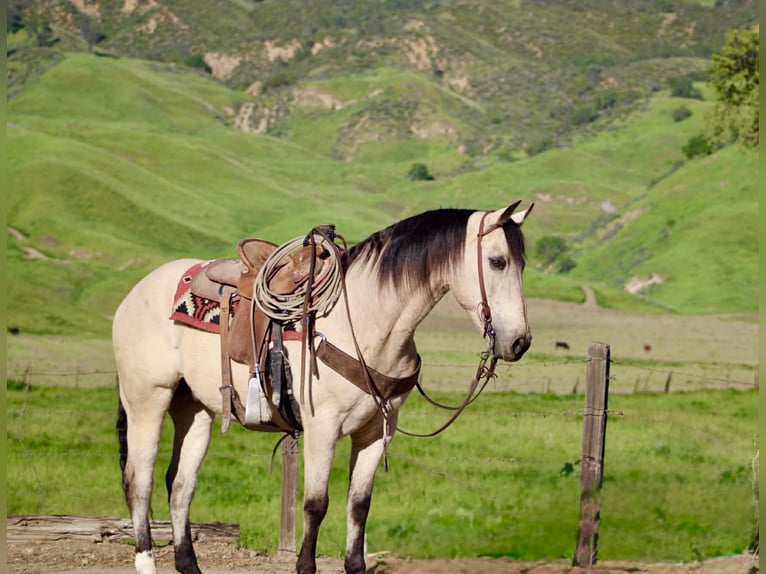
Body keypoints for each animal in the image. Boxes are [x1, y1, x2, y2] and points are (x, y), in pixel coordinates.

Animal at [113, 201, 534, 574]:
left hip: (195, 409)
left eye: (523, 263)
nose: (519, 342)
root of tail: (135, 293)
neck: (366, 320)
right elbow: (316, 504)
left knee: (180, 484)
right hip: (148, 400)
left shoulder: (376, 433)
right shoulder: (322, 428)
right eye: (497, 261)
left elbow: (359, 504)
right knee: (139, 480)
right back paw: (146, 562)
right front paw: (305, 565)